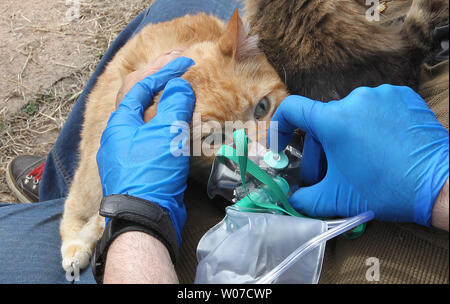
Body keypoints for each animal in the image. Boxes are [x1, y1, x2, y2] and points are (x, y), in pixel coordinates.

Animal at [59, 10, 286, 274]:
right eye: (215, 140)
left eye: (262, 107)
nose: (265, 156)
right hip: (92, 164)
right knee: (77, 199)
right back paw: (74, 246)